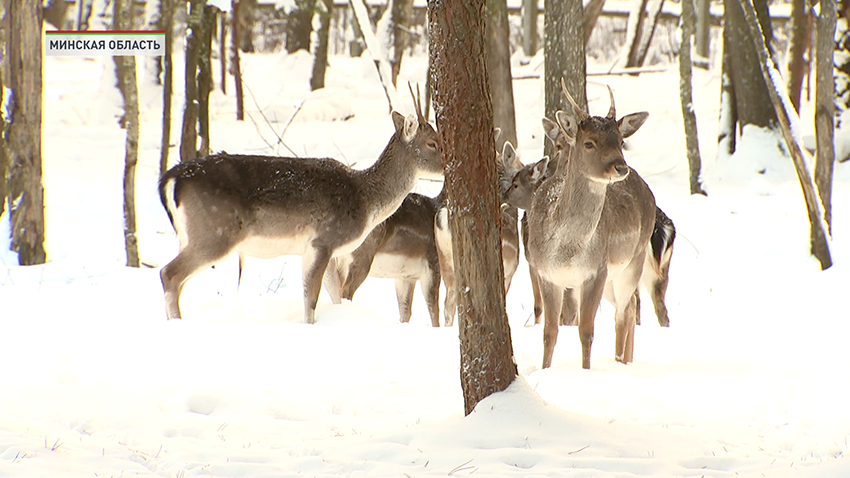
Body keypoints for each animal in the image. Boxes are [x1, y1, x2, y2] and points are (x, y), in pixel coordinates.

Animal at [322, 189, 444, 326]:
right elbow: (434, 310)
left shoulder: (406, 276)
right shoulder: (433, 264)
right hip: (359, 259)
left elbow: (405, 310)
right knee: (345, 290)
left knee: (333, 289)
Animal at [524, 80, 656, 368]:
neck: (567, 250)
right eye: (588, 143)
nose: (620, 167)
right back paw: (625, 361)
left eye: (620, 141)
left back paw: (621, 363)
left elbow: (586, 331)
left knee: (624, 312)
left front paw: (586, 371)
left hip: (634, 259)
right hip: (613, 277)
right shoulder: (545, 272)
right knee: (630, 307)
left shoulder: (596, 270)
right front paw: (545, 370)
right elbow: (549, 331)